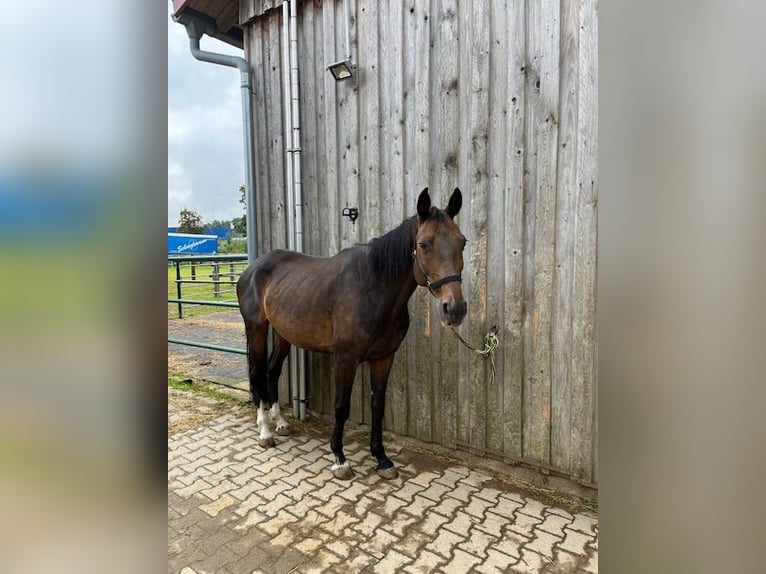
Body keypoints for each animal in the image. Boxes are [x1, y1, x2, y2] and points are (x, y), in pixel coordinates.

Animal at [236, 189, 468, 482]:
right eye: (424, 244)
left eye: (462, 243)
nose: (455, 309)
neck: (372, 289)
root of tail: (251, 269)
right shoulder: (345, 359)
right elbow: (341, 406)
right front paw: (339, 459)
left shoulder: (383, 358)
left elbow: (378, 405)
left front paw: (382, 459)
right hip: (257, 329)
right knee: (257, 373)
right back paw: (265, 431)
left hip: (282, 334)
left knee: (272, 371)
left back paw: (281, 423)